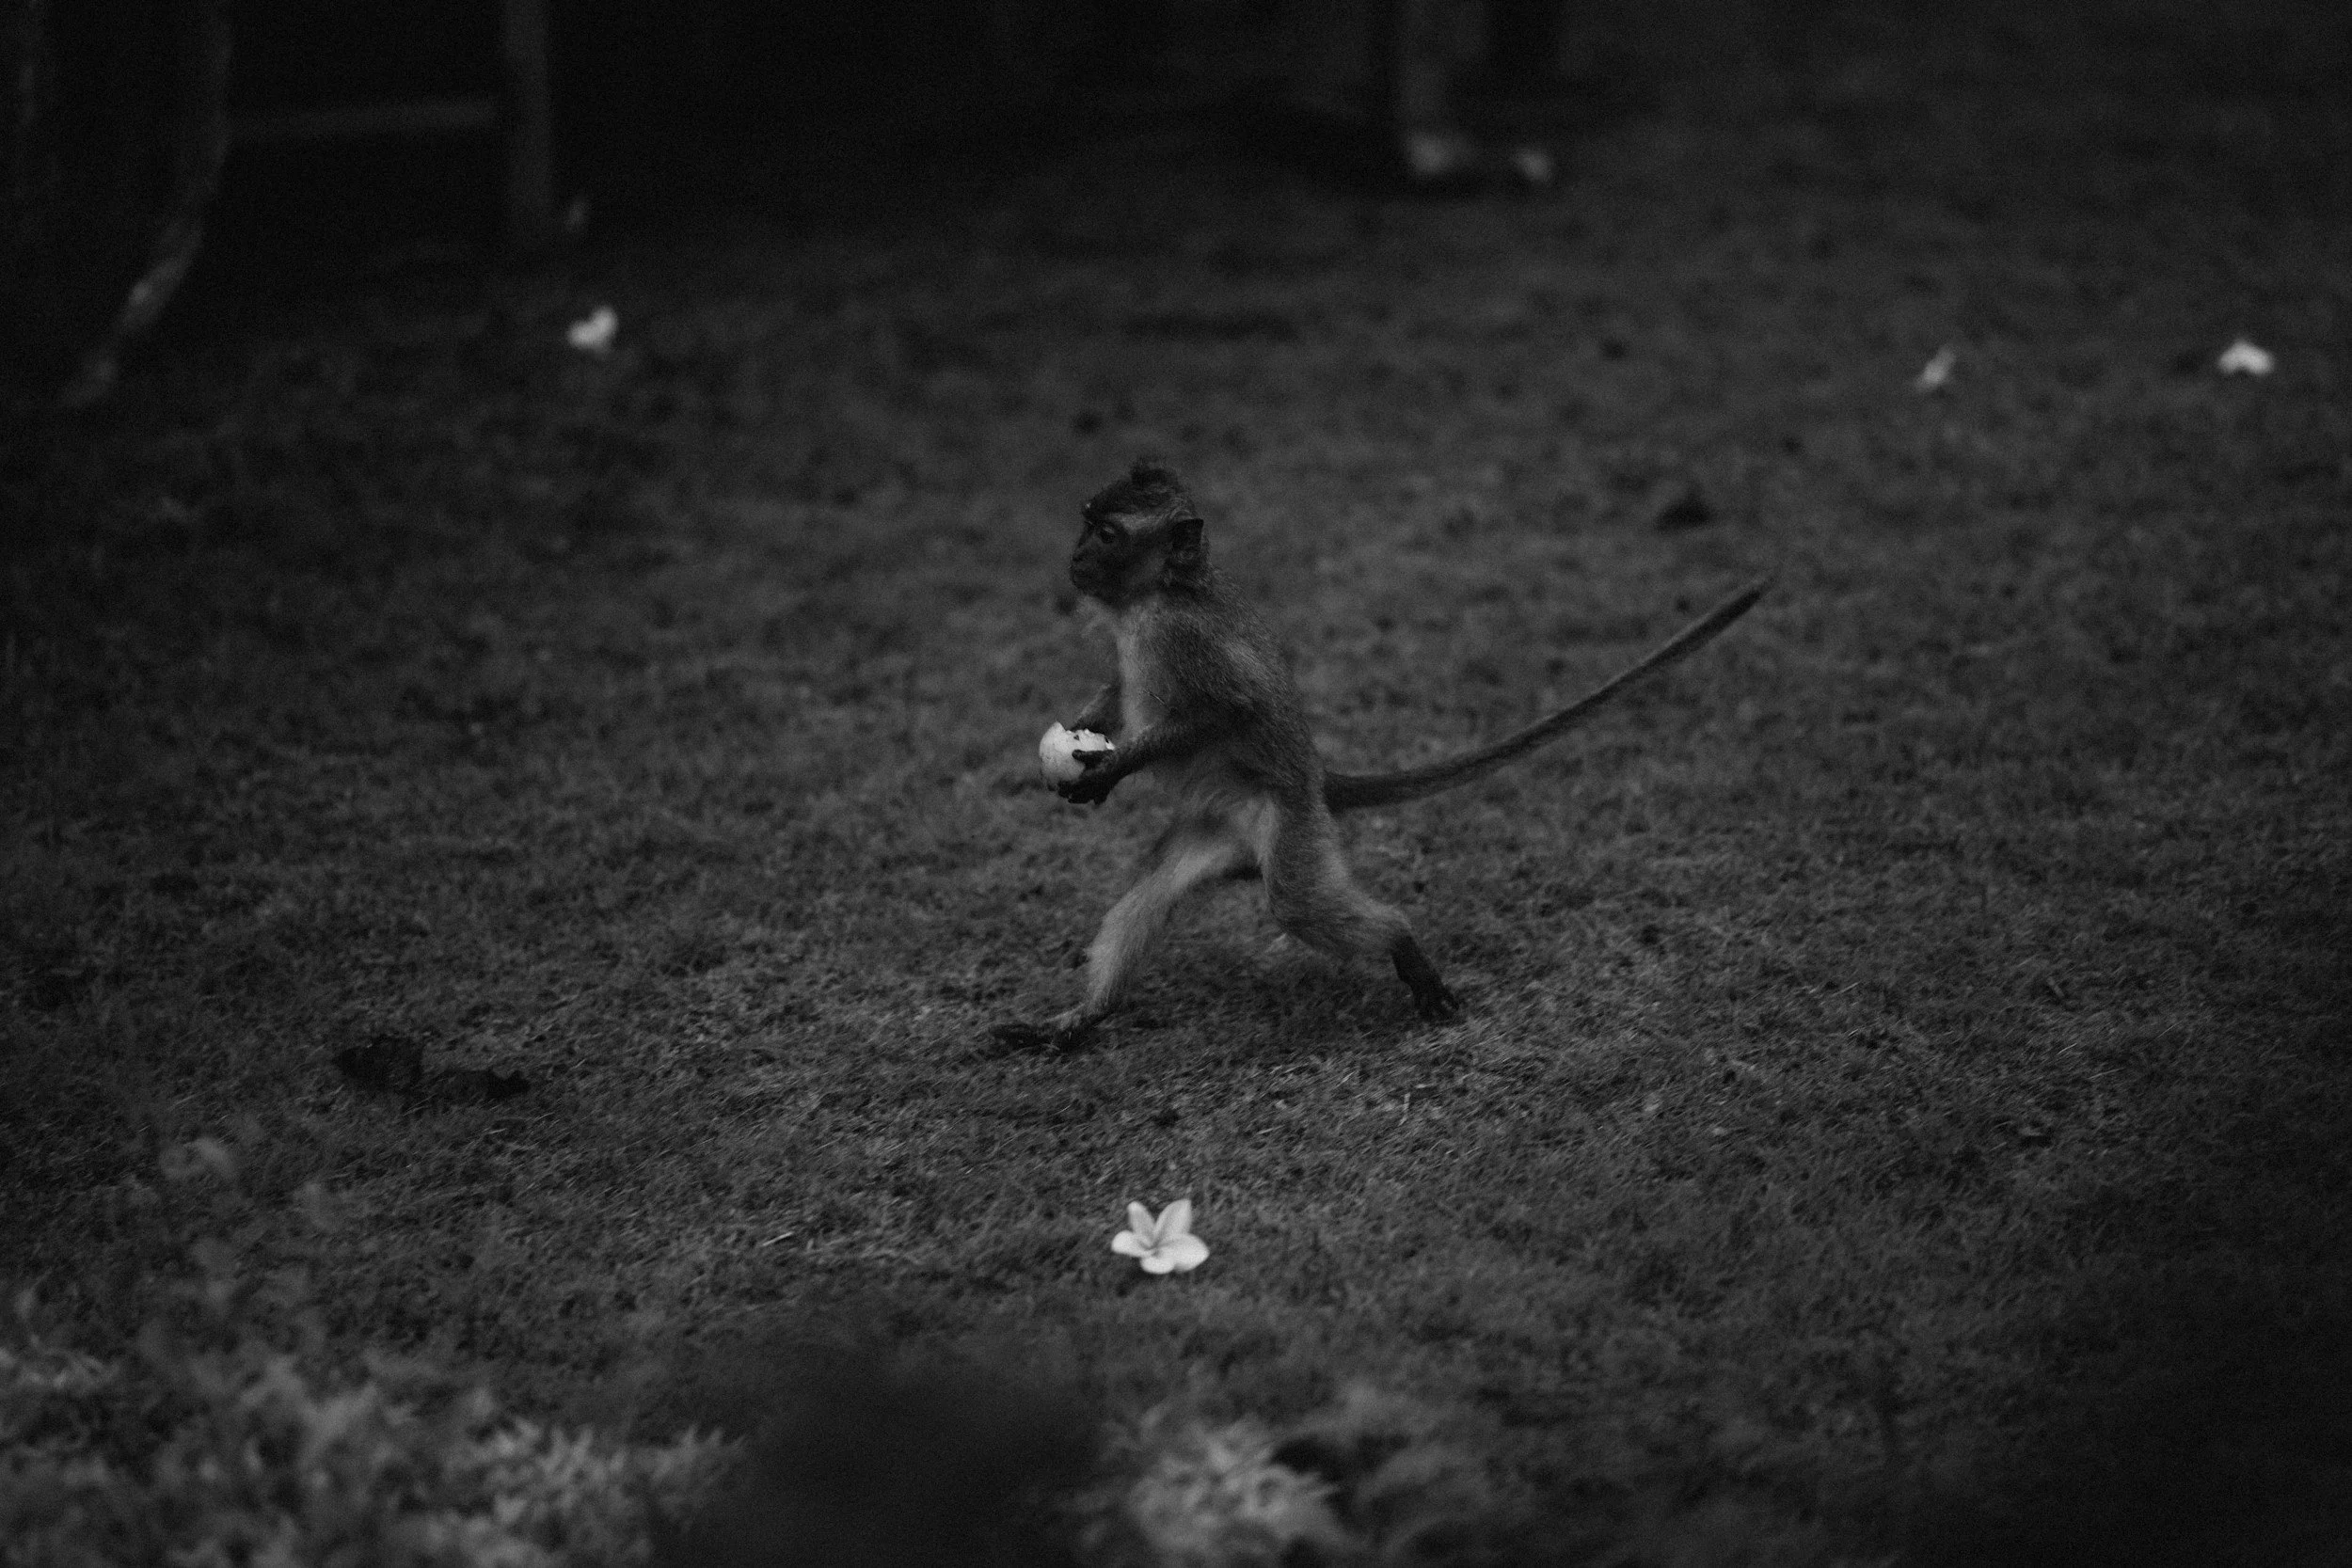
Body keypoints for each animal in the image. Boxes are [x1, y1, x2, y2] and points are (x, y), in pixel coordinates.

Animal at [989, 461, 1767, 1052]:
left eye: (1107, 532)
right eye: (1087, 521)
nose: (1076, 556)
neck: (1153, 596)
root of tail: (1313, 781)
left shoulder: (1186, 640)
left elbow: (1224, 712)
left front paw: (1110, 767)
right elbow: (1121, 693)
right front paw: (1085, 740)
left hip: (1288, 821)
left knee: (1297, 899)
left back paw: (1403, 944)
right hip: (1216, 832)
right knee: (1149, 892)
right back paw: (1077, 1021)